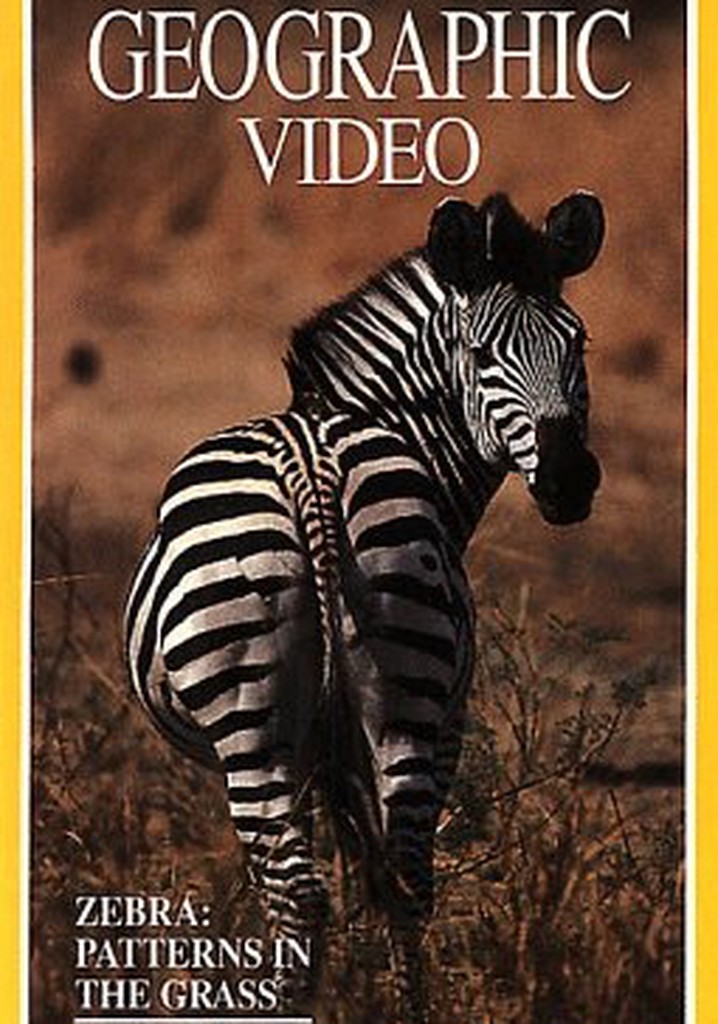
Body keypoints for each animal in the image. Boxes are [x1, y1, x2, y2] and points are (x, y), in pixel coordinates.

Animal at [125, 191, 604, 1023]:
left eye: (578, 346)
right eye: (483, 356)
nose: (570, 480)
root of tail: (312, 467)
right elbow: (366, 865)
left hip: (259, 727)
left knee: (298, 894)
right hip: (406, 685)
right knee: (405, 878)